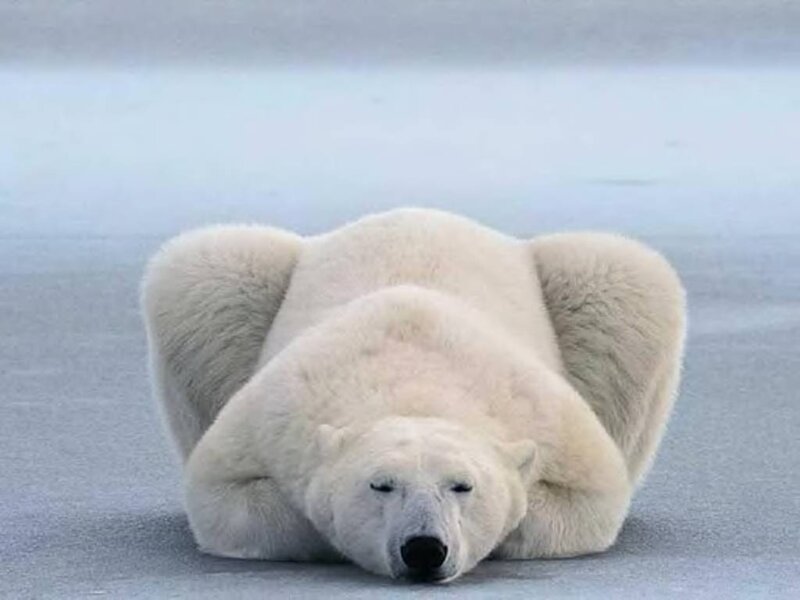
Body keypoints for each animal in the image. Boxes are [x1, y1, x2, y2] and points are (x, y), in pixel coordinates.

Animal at [141, 208, 686, 582]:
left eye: (462, 485)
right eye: (381, 485)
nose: (424, 548)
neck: (416, 381)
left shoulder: (546, 418)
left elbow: (589, 497)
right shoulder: (276, 414)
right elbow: (224, 495)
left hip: (594, 287)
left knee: (621, 276)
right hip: (237, 284)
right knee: (206, 269)